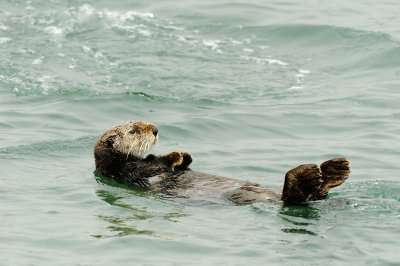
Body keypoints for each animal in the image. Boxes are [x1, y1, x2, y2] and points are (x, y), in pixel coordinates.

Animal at [94, 121, 350, 205]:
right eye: (133, 131)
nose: (155, 130)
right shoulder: (127, 170)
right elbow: (155, 164)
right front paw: (175, 156)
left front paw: (185, 155)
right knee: (293, 198)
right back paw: (310, 175)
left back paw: (333, 170)